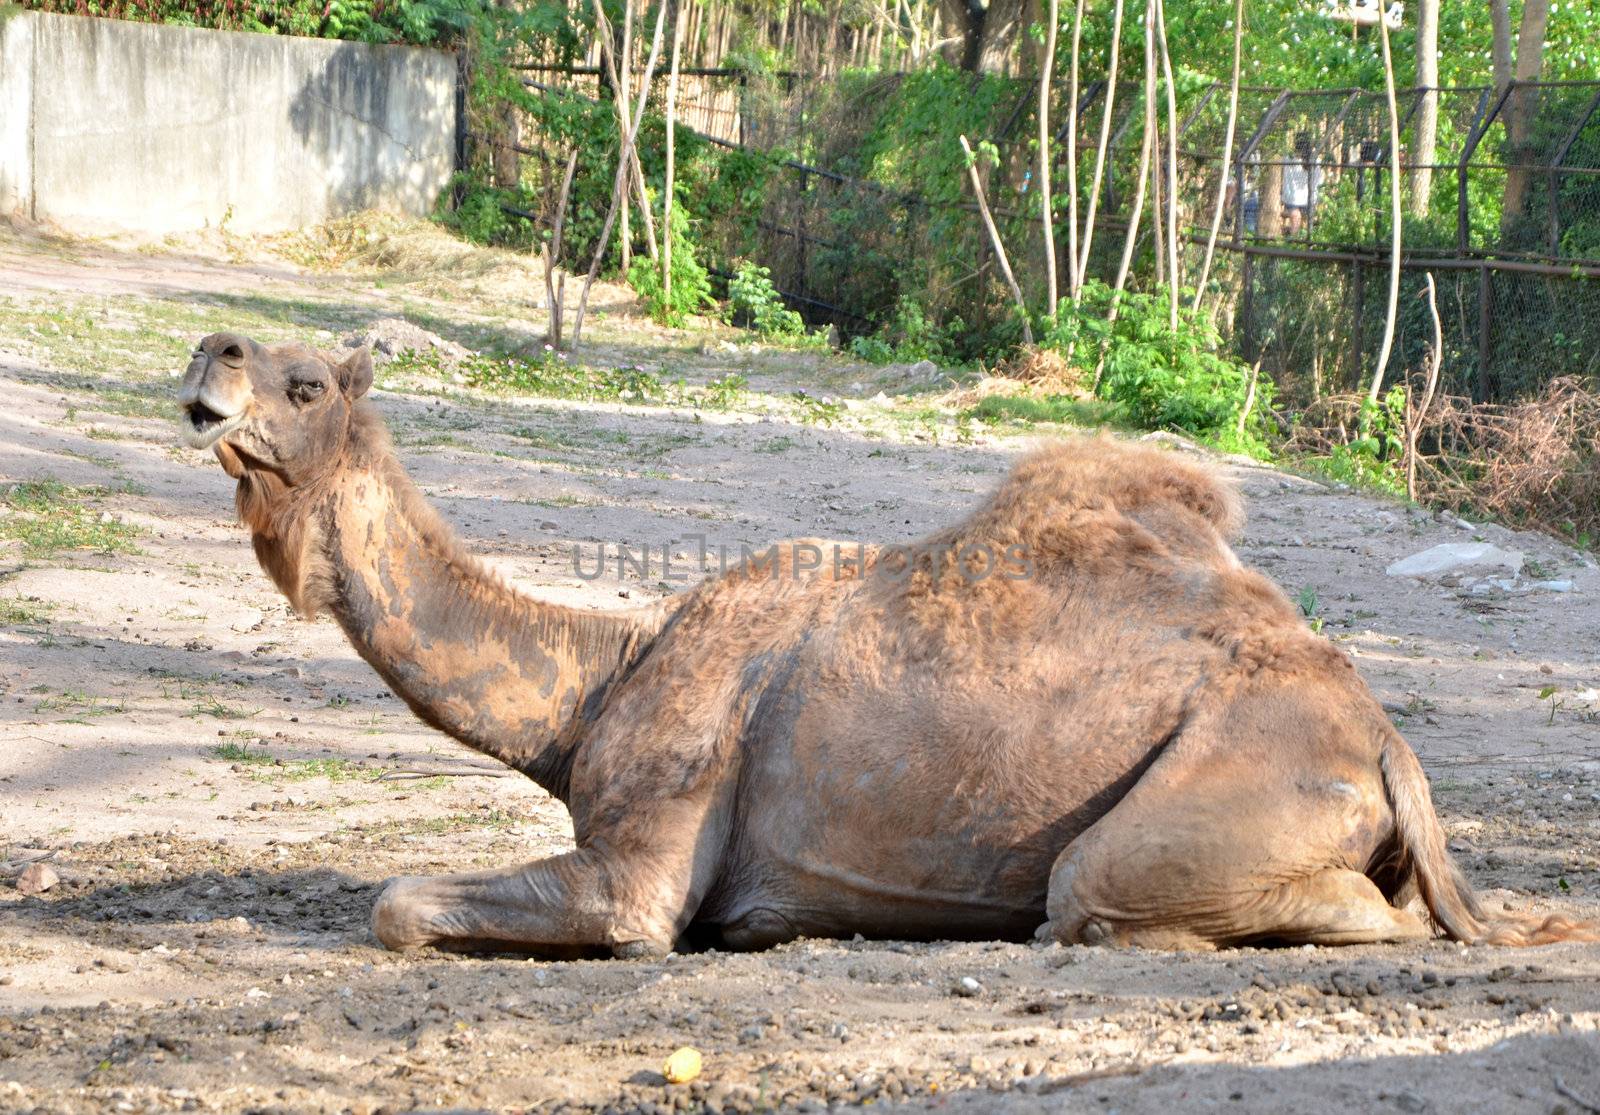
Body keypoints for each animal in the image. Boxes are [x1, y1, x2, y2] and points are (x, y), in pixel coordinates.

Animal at [178, 334, 1587, 953]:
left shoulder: (649, 849)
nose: (210, 358)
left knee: (1114, 893)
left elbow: (408, 904)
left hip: (1219, 798)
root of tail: (1389, 743)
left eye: (307, 384)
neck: (598, 683)